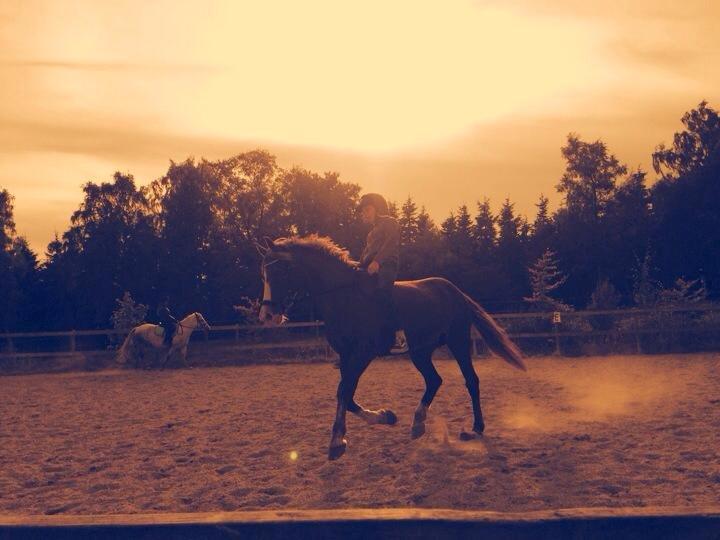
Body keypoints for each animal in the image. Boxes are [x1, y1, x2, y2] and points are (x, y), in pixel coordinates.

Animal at [256, 236, 524, 460]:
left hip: (458, 342)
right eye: (264, 273)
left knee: (471, 380)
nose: (267, 315)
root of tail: (455, 291)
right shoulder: (345, 354)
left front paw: (336, 441)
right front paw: (384, 416)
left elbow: (344, 392)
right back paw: (418, 423)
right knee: (434, 380)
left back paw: (476, 429)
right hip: (420, 351)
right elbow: (346, 394)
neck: (343, 298)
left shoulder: (363, 353)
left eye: (280, 271)